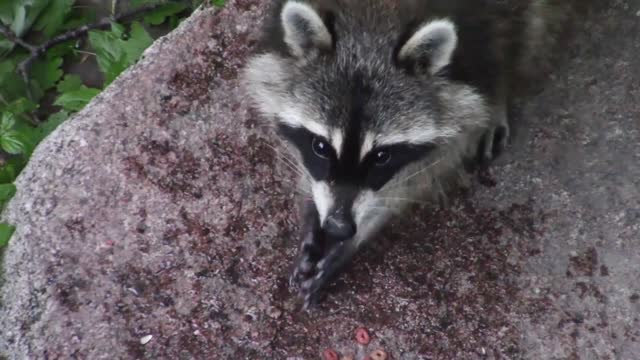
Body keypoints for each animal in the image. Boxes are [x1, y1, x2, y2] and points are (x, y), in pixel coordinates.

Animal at [242, 0, 572, 310]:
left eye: (382, 156)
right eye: (320, 147)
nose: (338, 227)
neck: (370, 26)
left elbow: (425, 172)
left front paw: (359, 235)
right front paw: (311, 210)